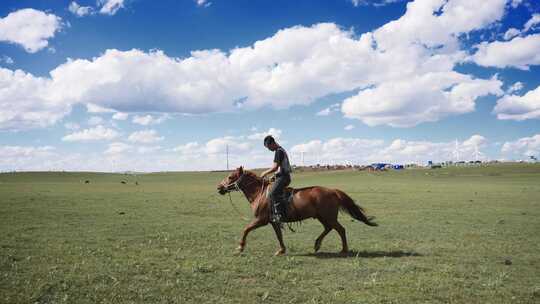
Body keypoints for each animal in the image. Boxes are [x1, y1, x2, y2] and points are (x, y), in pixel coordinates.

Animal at [215, 167, 376, 255]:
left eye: (230, 176)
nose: (219, 187)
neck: (259, 193)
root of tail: (333, 191)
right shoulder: (274, 221)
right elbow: (279, 236)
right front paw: (281, 250)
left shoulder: (261, 220)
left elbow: (246, 229)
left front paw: (240, 247)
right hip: (322, 217)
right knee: (329, 228)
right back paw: (317, 244)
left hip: (328, 217)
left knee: (340, 229)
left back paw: (343, 249)